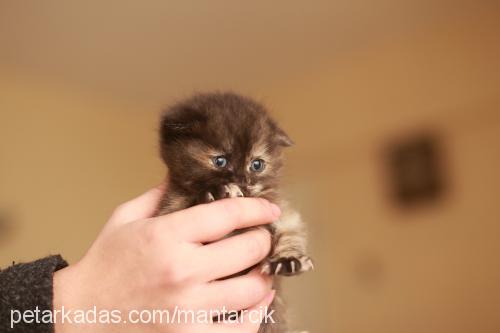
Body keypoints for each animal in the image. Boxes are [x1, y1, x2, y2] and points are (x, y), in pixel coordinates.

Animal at [156, 91, 312, 332]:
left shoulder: (278, 208)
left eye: (257, 164)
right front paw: (217, 191)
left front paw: (288, 259)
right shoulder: (171, 207)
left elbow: (291, 231)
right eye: (220, 161)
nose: (243, 182)